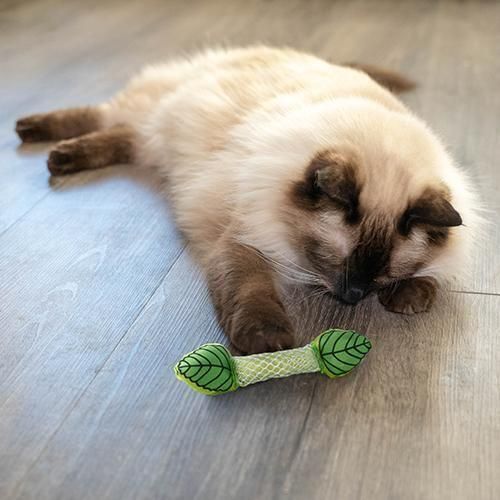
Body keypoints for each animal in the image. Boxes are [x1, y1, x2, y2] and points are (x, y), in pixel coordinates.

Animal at [15, 46, 480, 354]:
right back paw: (37, 136)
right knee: (101, 116)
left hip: (153, 140)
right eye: (332, 259)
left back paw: (56, 155)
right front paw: (267, 341)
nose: (352, 296)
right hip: (153, 110)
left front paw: (409, 297)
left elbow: (433, 275)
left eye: (384, 275)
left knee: (123, 137)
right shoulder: (245, 241)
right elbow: (252, 293)